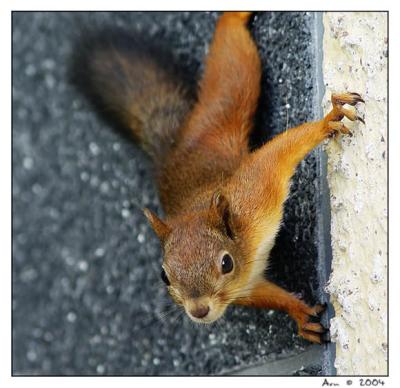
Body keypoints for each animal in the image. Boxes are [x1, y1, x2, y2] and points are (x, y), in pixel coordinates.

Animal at [73, 11, 364, 342]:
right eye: (164, 275)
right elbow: (267, 295)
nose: (199, 311)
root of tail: (177, 146)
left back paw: (233, 16)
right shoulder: (245, 285)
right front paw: (299, 312)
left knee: (231, 64)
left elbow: (279, 152)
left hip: (224, 106)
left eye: (226, 263)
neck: (245, 245)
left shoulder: (255, 190)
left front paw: (328, 121)